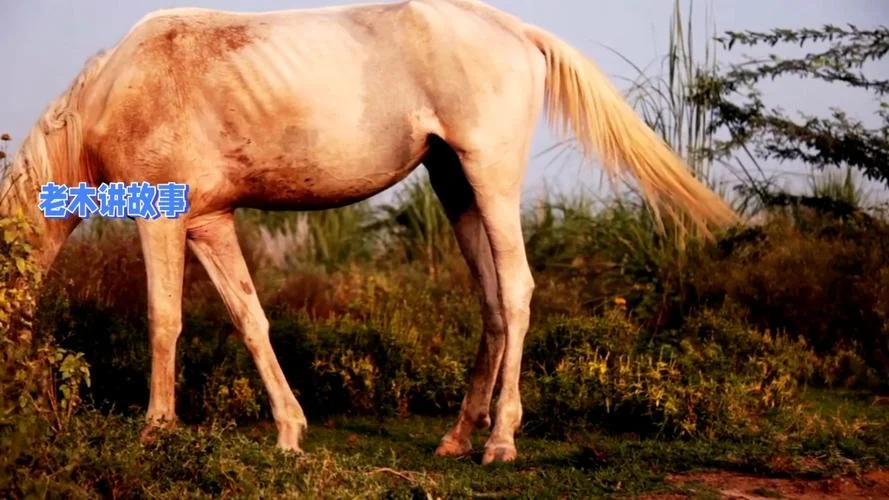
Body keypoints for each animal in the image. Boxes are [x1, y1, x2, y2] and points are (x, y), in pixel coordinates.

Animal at [0, 0, 738, 464]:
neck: (115, 91)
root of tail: (516, 29)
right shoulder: (209, 223)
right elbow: (250, 319)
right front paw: (290, 431)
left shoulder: (163, 215)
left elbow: (164, 318)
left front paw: (156, 430)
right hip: (454, 184)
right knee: (492, 302)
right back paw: (457, 437)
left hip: (491, 176)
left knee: (518, 291)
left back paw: (499, 440)